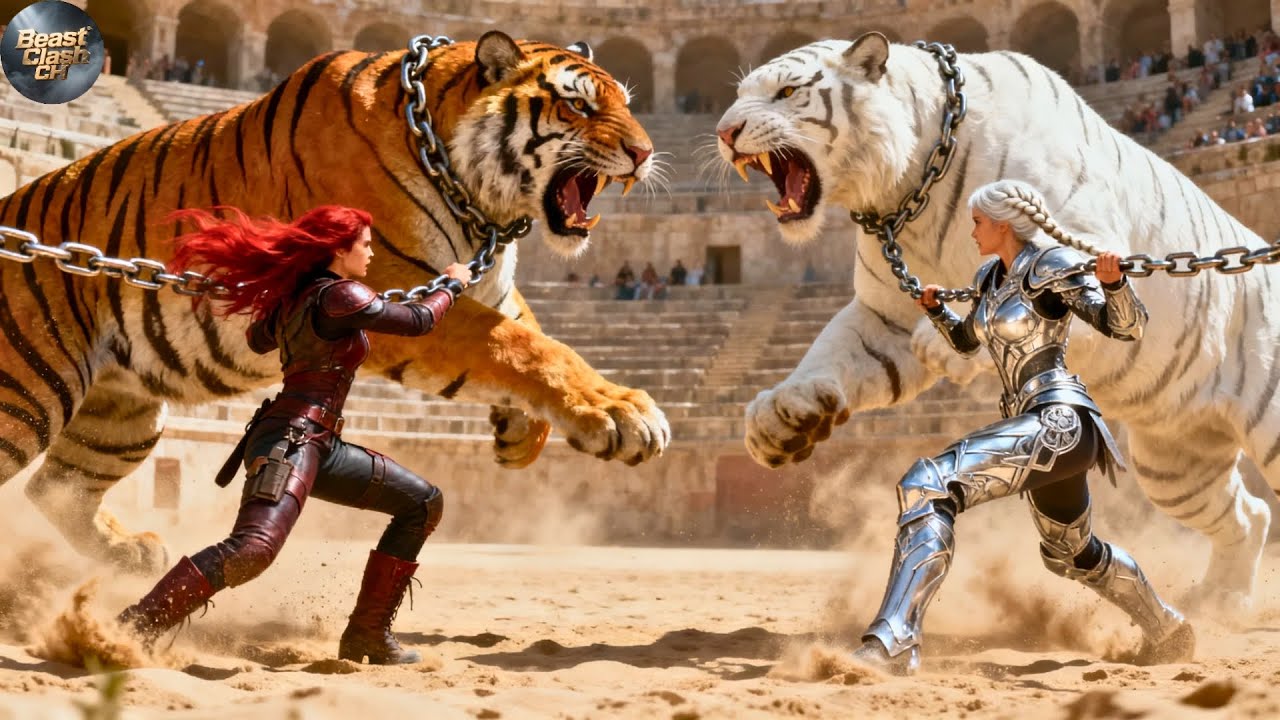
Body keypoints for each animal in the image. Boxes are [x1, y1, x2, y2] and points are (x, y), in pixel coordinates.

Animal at [0, 31, 669, 575]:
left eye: (627, 102)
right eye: (578, 105)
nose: (644, 153)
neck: (478, 200)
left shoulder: (486, 283)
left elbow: (533, 333)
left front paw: (520, 436)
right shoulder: (394, 288)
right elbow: (523, 346)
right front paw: (621, 413)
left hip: (123, 416)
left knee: (54, 489)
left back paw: (129, 552)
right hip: (26, 398)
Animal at [716, 32, 1279, 615]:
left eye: (786, 92)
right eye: (739, 95)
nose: (724, 133)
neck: (907, 192)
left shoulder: (1083, 252)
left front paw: (943, 346)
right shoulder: (882, 315)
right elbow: (830, 351)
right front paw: (780, 417)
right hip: (1176, 465)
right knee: (1248, 515)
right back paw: (1223, 601)